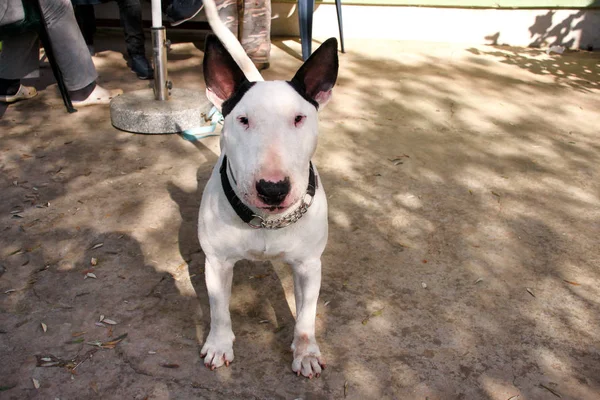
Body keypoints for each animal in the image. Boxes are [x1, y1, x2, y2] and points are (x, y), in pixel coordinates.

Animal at [198, 0, 336, 378]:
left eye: (299, 118)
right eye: (243, 119)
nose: (273, 189)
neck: (266, 222)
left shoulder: (309, 265)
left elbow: (306, 316)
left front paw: (305, 352)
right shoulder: (217, 263)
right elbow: (218, 309)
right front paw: (219, 345)